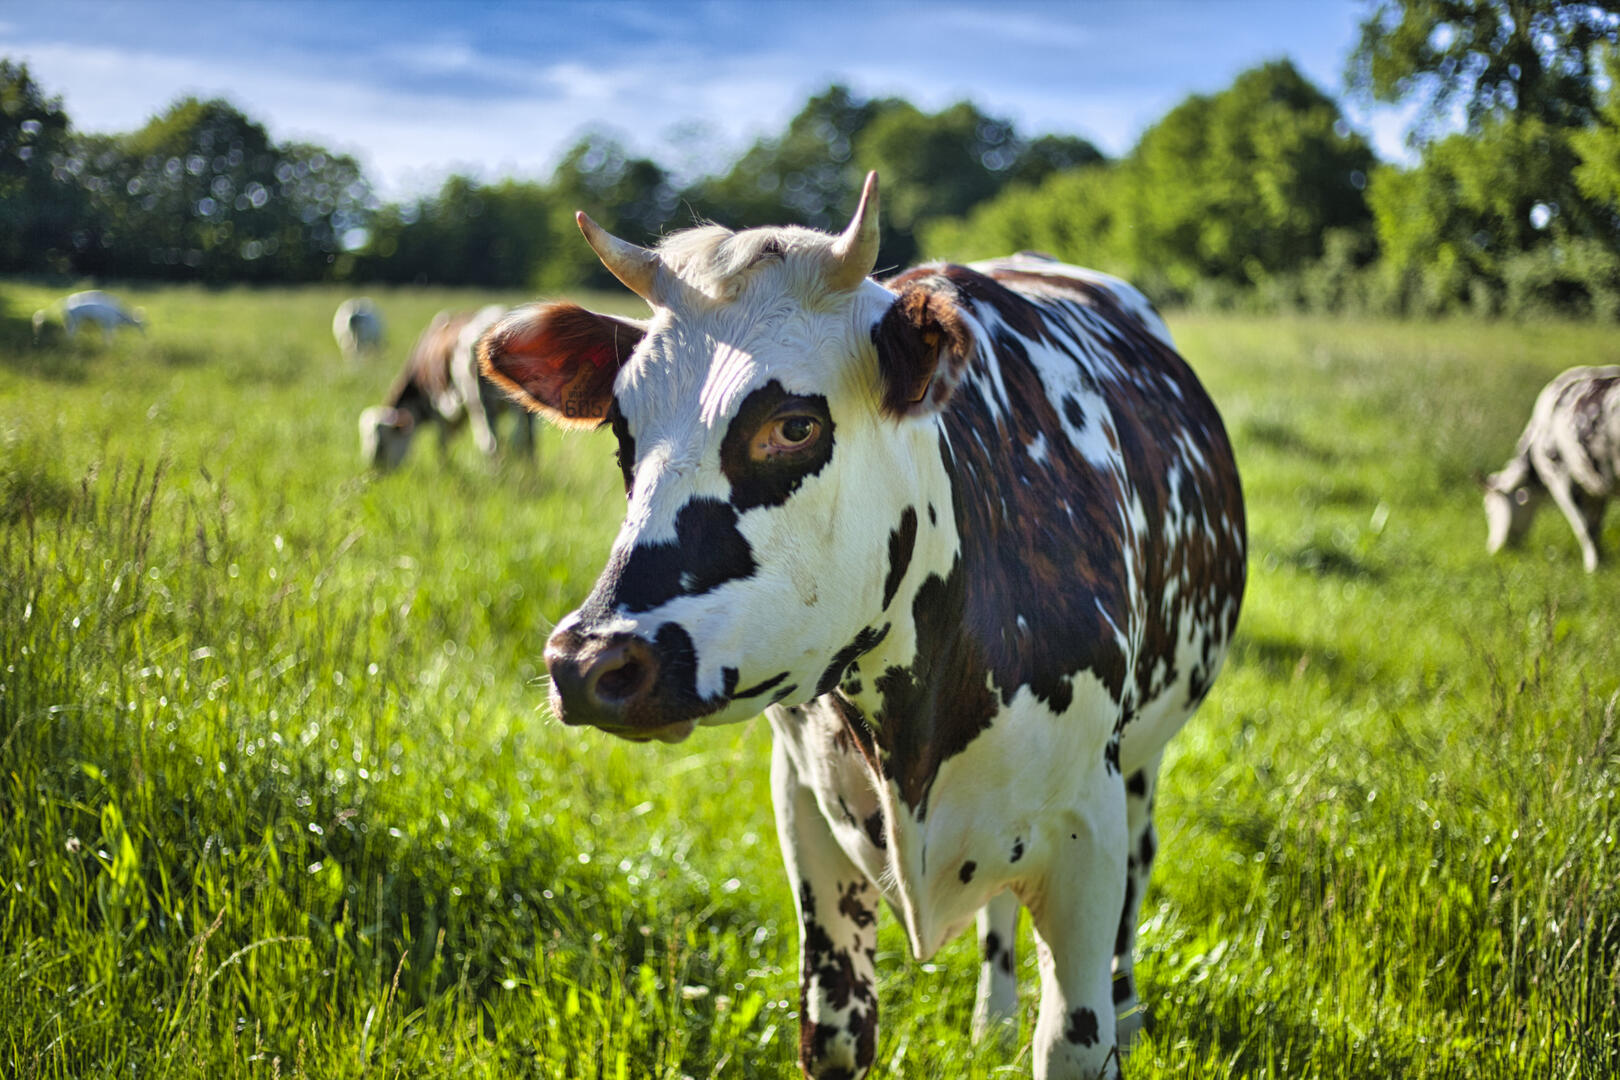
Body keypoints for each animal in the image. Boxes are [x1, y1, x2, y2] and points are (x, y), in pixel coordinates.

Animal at [358, 304, 534, 471]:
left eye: (381, 445)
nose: (374, 469)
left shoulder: (437, 405)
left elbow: (441, 443)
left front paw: (444, 468)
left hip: (480, 401)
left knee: (491, 443)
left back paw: (497, 475)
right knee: (528, 440)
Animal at [479, 173, 1246, 1079]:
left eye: (794, 425)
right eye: (622, 433)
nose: (589, 660)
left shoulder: (1084, 829)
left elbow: (1074, 1037)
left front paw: (1098, 1025)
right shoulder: (806, 811)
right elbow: (836, 1031)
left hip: (1141, 765)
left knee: (1136, 872)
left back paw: (1124, 1009)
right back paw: (993, 1018)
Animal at [1482, 365, 1620, 572]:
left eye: (1488, 510)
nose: (1494, 549)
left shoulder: (1562, 478)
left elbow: (1584, 528)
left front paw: (1592, 569)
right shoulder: (1595, 486)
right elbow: (1595, 527)